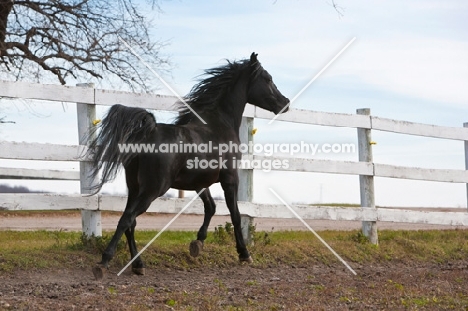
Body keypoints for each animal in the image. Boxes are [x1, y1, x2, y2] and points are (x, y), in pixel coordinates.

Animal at [88, 52, 288, 280]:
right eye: (268, 78)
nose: (286, 103)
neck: (218, 125)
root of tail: (147, 133)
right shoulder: (230, 178)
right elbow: (235, 215)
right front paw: (244, 254)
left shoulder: (201, 183)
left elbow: (211, 207)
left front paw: (197, 244)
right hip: (152, 190)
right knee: (127, 219)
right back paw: (104, 262)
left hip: (134, 188)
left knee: (131, 222)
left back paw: (138, 265)